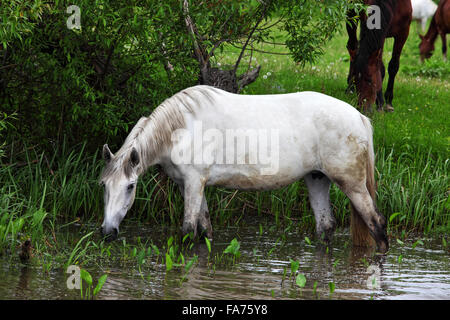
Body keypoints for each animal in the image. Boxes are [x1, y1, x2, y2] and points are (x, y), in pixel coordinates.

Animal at [100, 85, 388, 252]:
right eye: (104, 186)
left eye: (130, 186)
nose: (107, 232)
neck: (181, 127)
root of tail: (358, 116)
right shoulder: (191, 185)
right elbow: (205, 230)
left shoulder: (193, 183)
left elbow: (188, 231)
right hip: (317, 179)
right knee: (325, 227)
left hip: (352, 184)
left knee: (376, 223)